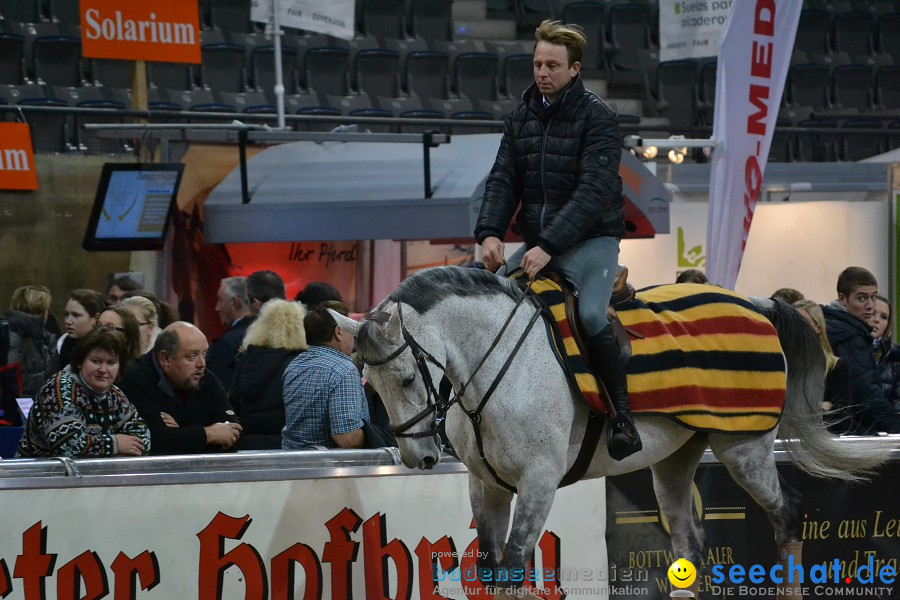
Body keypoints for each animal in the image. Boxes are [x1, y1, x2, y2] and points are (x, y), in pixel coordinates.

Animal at [330, 268, 892, 600]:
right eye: (368, 381)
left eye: (406, 378)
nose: (418, 457)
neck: (500, 365)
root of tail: (758, 305)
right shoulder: (485, 487)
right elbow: (489, 572)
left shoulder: (538, 484)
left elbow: (513, 567)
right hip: (675, 462)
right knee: (690, 543)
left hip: (744, 449)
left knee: (787, 515)